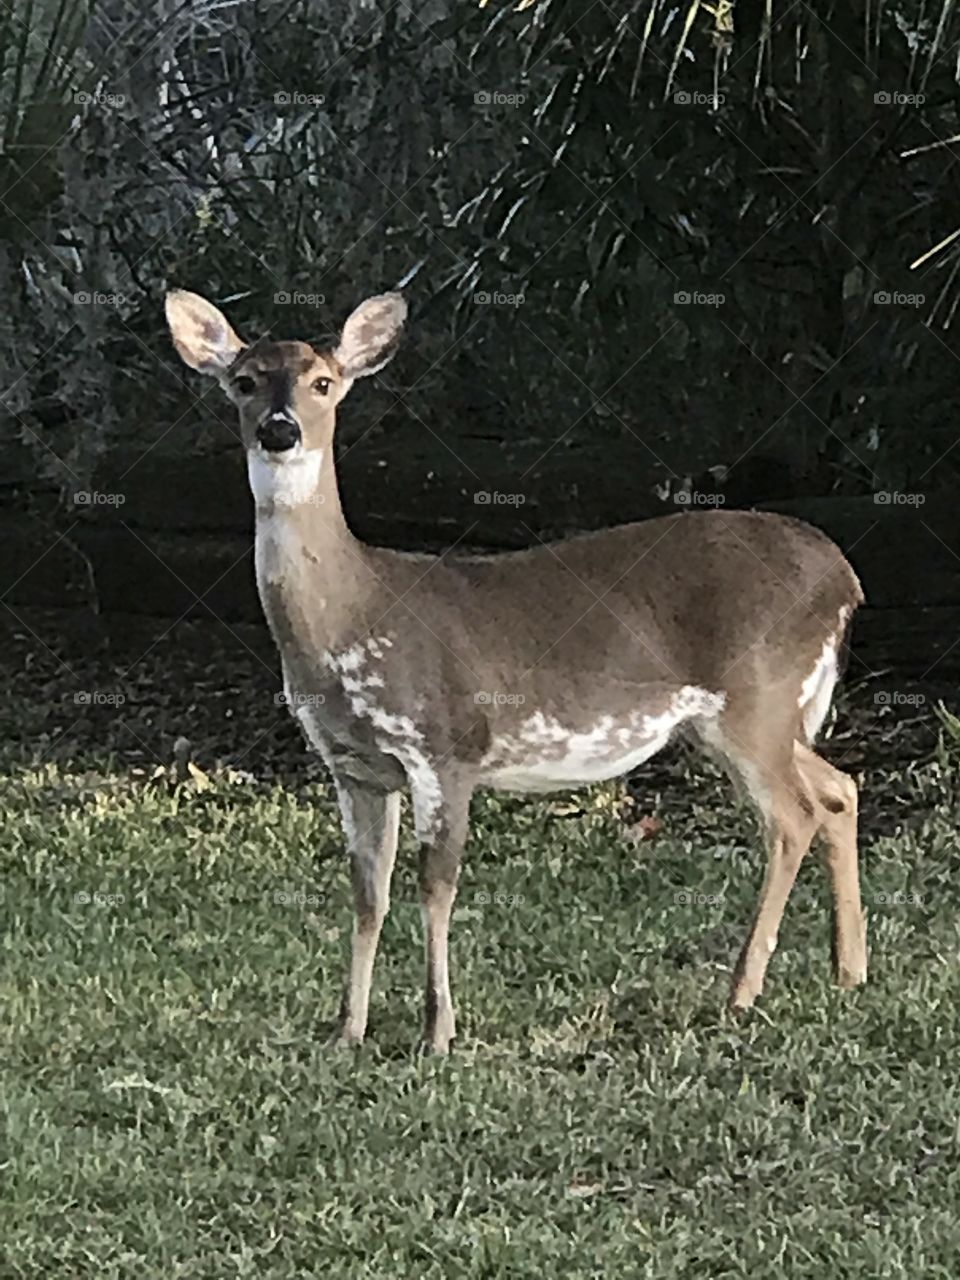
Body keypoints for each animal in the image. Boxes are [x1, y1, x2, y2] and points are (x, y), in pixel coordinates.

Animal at [165, 288, 870, 1049]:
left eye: (323, 383)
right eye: (244, 381)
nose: (280, 430)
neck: (353, 614)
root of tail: (845, 577)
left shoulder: (444, 746)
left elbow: (436, 885)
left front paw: (438, 1032)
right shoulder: (355, 767)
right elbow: (367, 892)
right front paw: (347, 1030)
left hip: (755, 697)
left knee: (793, 816)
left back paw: (742, 991)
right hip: (766, 716)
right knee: (839, 789)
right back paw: (848, 971)